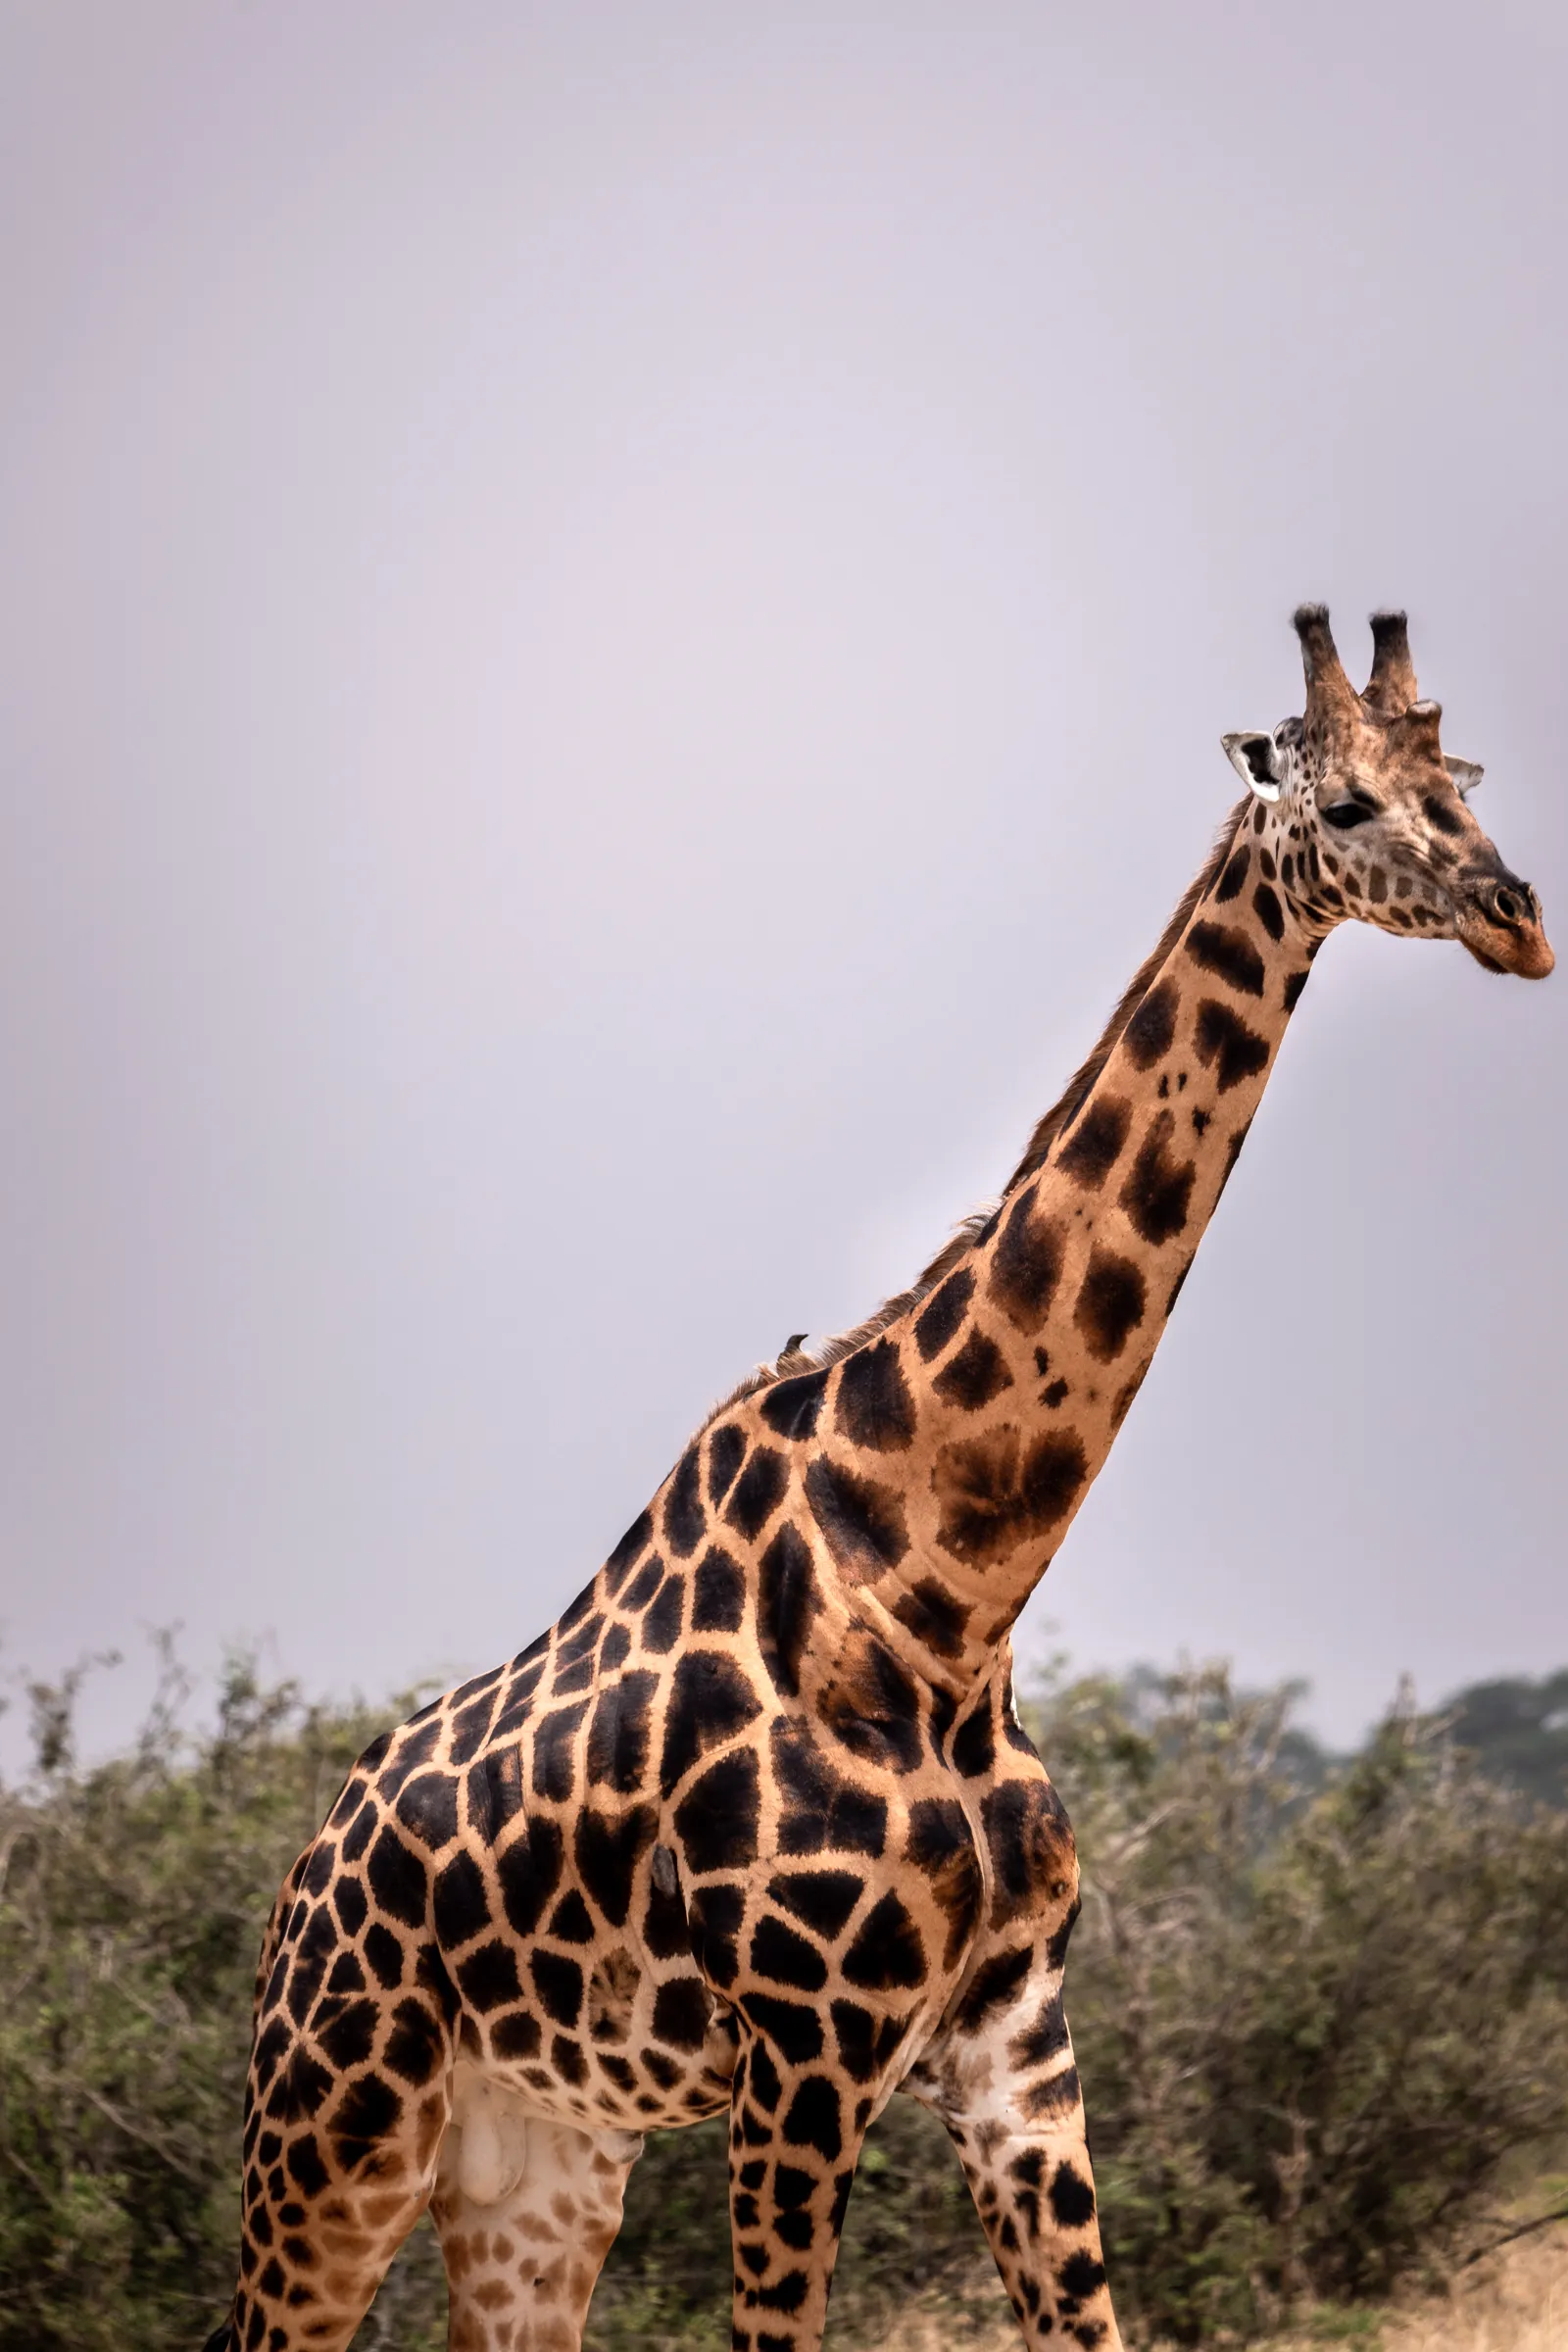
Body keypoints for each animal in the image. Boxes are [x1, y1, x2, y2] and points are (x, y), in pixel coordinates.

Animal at [205, 607, 1552, 2352]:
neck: (948, 1589)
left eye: (1463, 783)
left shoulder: (1016, 2040)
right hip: (334, 2125)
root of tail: (296, 1882)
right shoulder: (807, 2047)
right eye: (1343, 806)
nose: (1519, 920)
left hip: (536, 2165)